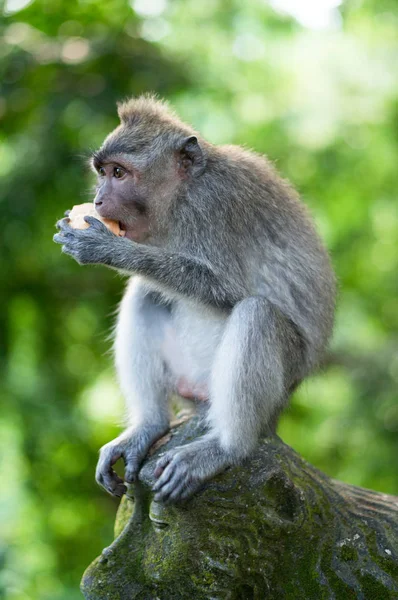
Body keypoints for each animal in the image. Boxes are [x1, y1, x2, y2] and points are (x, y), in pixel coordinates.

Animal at [53, 95, 336, 502]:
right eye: (102, 171)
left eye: (119, 173)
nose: (99, 199)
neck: (180, 196)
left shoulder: (215, 204)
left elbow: (228, 289)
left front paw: (108, 249)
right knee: (146, 294)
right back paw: (150, 424)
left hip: (277, 386)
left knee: (257, 313)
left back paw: (225, 447)